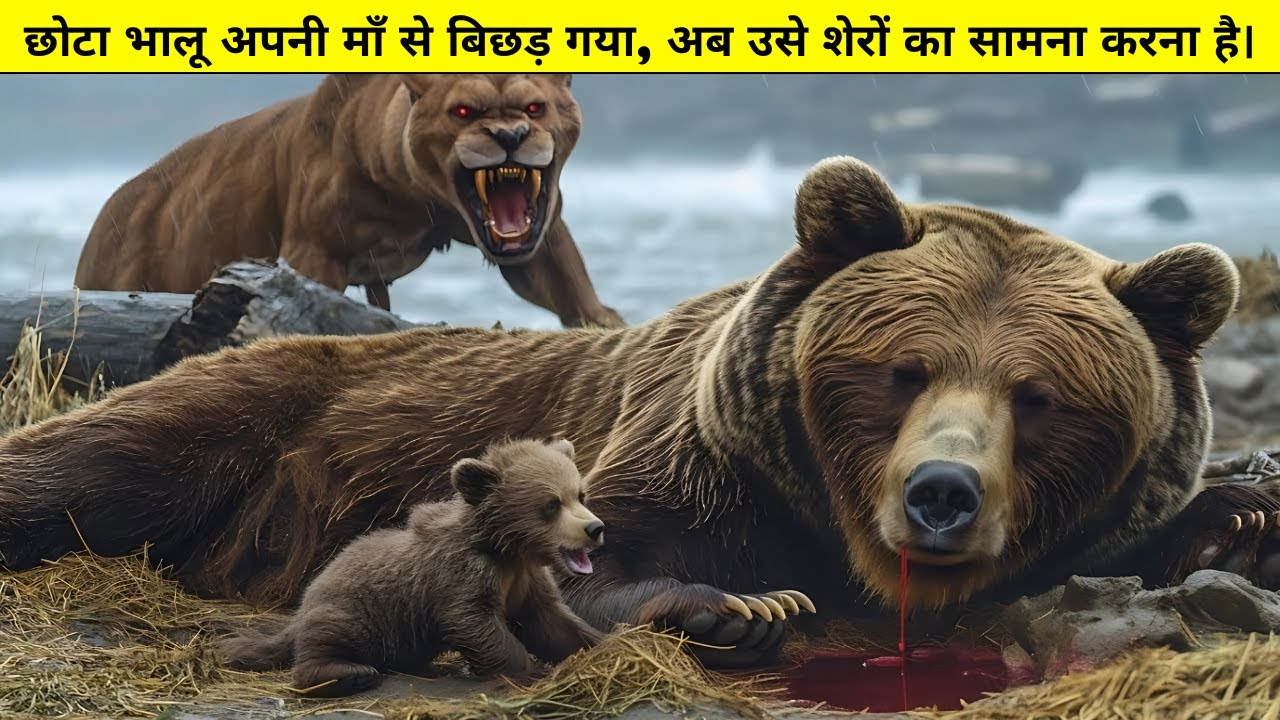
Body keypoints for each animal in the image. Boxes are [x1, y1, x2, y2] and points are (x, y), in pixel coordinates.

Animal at [1, 156, 1275, 671]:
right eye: (900, 370)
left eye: (1038, 397)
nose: (940, 494)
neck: (826, 522)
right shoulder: (682, 453)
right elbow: (599, 551)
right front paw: (739, 605)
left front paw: (1233, 515)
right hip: (238, 419)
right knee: (81, 469)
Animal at [73, 73, 625, 328]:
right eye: (463, 111)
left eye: (535, 107)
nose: (510, 135)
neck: (419, 198)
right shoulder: (314, 252)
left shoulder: (539, 234)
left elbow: (572, 289)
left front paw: (607, 325)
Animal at [219, 437, 607, 697]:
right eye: (550, 504)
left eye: (579, 494)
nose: (595, 528)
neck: (508, 552)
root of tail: (311, 590)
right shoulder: (461, 576)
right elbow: (476, 623)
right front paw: (530, 669)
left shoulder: (526, 580)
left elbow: (552, 622)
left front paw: (600, 641)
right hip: (353, 608)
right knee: (326, 639)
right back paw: (350, 673)